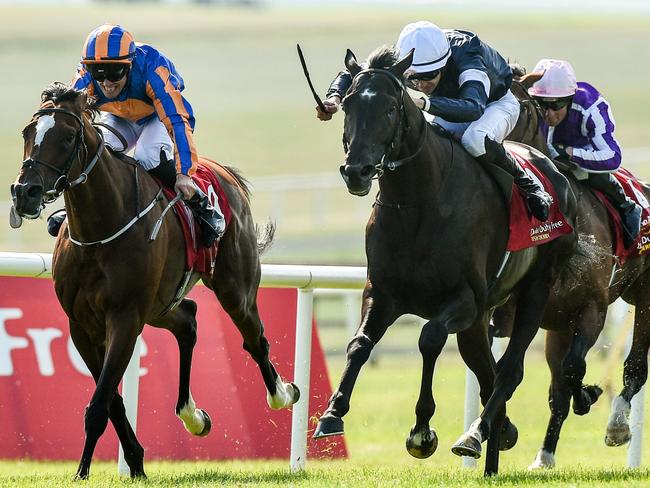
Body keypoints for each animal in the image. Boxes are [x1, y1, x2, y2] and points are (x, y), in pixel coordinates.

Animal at [10, 82, 298, 478]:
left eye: (68, 137)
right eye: (27, 132)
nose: (25, 192)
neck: (100, 229)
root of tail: (223, 172)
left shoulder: (125, 318)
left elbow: (100, 403)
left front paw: (83, 471)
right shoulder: (81, 325)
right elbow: (111, 400)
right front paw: (133, 462)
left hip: (233, 290)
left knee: (255, 340)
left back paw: (282, 394)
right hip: (161, 304)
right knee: (188, 320)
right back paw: (193, 416)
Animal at [312, 46, 576, 476]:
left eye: (390, 108)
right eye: (348, 104)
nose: (357, 171)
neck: (418, 201)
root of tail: (554, 169)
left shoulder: (463, 299)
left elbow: (430, 338)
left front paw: (422, 430)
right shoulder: (382, 292)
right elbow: (359, 343)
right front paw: (332, 414)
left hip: (534, 291)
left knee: (508, 371)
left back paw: (475, 434)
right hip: (480, 319)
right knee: (485, 370)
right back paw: (498, 437)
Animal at [492, 72, 648, 468]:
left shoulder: (593, 307)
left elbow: (574, 368)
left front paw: (590, 396)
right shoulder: (533, 313)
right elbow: (560, 383)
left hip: (645, 299)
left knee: (635, 368)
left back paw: (617, 424)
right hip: (559, 325)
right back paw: (545, 454)